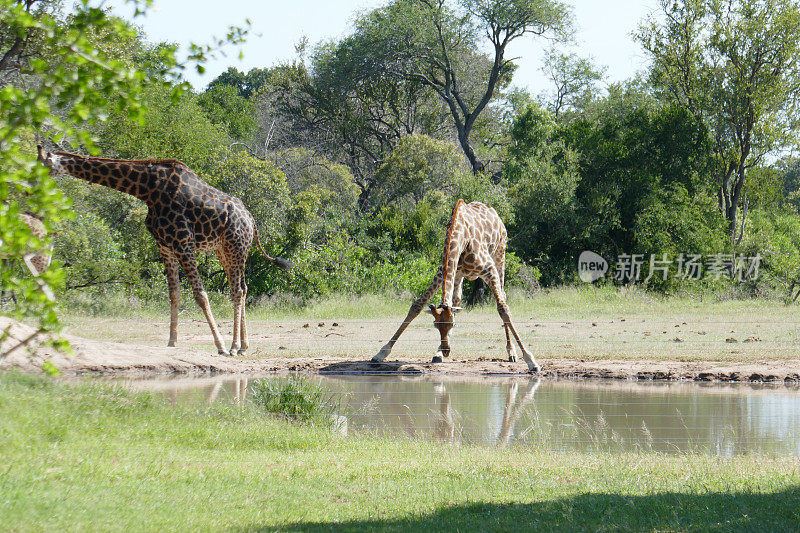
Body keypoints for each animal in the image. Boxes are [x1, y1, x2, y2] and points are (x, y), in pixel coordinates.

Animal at [37, 145, 292, 356]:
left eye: (43, 164)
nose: (33, 185)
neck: (147, 190)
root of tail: (251, 220)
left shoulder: (183, 242)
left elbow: (200, 295)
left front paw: (219, 345)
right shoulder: (165, 245)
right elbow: (174, 293)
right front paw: (171, 341)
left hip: (235, 246)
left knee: (237, 291)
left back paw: (234, 346)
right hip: (225, 251)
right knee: (242, 288)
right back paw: (245, 345)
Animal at [374, 198, 536, 370]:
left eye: (452, 325)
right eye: (436, 325)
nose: (446, 351)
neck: (460, 238)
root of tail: (495, 213)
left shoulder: (489, 269)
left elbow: (503, 309)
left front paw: (531, 360)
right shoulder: (443, 271)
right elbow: (417, 306)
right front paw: (381, 353)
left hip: (500, 255)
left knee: (503, 296)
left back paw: (511, 352)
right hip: (459, 275)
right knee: (456, 300)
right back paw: (438, 353)